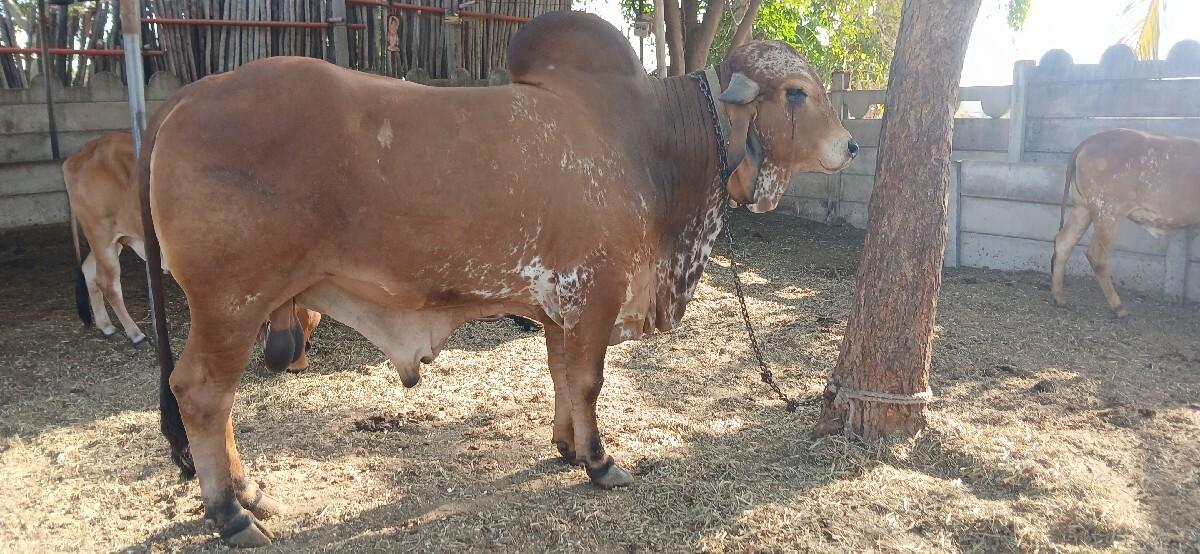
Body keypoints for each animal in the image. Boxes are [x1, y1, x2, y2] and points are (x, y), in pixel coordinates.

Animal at [63, 131, 320, 371]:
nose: (298, 366)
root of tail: (78, 155)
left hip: (113, 240)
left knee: (89, 272)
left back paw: (105, 326)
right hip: (102, 235)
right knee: (108, 283)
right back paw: (135, 334)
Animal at [139, 12, 856, 546]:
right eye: (796, 91)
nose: (850, 146)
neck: (650, 144)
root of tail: (187, 95)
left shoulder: (560, 306)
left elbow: (562, 375)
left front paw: (568, 446)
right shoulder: (596, 294)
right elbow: (588, 381)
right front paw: (600, 462)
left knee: (215, 400)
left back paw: (249, 492)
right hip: (230, 302)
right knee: (201, 394)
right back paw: (230, 513)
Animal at [1051, 128, 1200, 316]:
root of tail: (1091, 139)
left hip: (1083, 207)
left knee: (1064, 242)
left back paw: (1059, 298)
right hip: (1108, 211)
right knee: (1097, 255)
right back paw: (1118, 307)